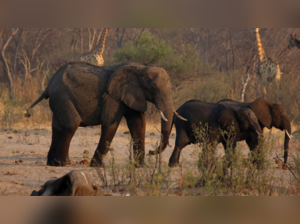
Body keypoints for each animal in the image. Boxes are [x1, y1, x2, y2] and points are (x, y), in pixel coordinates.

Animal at [25, 62, 185, 167]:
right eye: (154, 87)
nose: (152, 151)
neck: (141, 68)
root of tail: (49, 83)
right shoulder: (112, 96)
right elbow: (110, 124)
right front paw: (96, 166)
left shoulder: (132, 94)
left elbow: (138, 125)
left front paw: (140, 167)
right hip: (62, 96)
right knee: (72, 123)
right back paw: (64, 164)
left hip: (57, 99)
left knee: (57, 127)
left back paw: (52, 163)